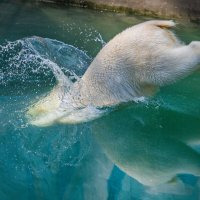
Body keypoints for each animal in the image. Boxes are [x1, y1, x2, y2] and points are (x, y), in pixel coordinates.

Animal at [27, 20, 200, 126]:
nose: (27, 114)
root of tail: (154, 24)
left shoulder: (83, 104)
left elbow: (73, 117)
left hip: (142, 57)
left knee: (167, 68)